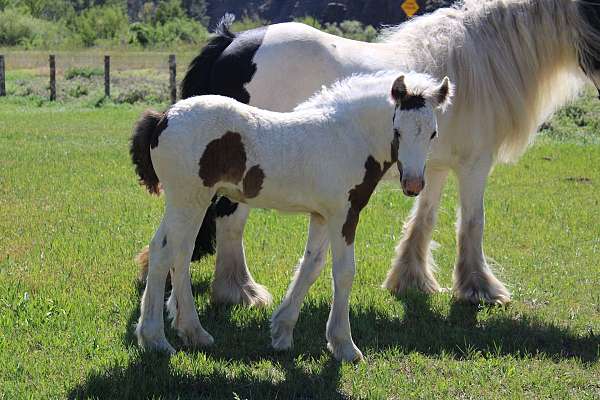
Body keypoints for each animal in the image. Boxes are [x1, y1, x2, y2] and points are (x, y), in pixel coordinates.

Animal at [130, 72, 450, 362]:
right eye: (397, 131)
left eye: (433, 133)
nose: (413, 184)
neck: (348, 137)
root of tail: (163, 117)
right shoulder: (344, 214)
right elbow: (344, 272)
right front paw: (346, 347)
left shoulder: (322, 215)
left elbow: (312, 265)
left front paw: (282, 332)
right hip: (188, 200)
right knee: (166, 253)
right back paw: (158, 340)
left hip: (186, 203)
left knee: (173, 252)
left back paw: (189, 333)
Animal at [137, 0, 600, 306]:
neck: (477, 61)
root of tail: (231, 42)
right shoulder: (474, 166)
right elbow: (472, 223)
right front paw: (479, 289)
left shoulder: (433, 165)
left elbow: (424, 219)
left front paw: (411, 279)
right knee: (230, 223)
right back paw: (241, 292)